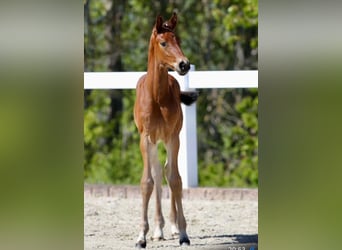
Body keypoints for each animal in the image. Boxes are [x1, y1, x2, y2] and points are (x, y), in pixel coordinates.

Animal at [134, 12, 196, 248]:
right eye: (163, 43)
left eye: (178, 40)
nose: (184, 64)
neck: (157, 97)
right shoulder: (146, 138)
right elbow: (147, 182)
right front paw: (141, 237)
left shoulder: (172, 137)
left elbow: (176, 180)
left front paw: (183, 234)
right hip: (153, 142)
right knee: (158, 173)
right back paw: (158, 229)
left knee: (168, 172)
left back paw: (172, 226)